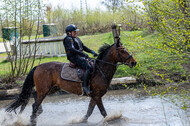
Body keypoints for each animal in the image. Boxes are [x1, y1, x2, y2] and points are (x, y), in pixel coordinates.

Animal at [5, 37, 137, 125]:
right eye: (122, 51)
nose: (134, 62)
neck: (100, 70)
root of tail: (38, 66)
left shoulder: (94, 96)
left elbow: (89, 112)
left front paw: (81, 120)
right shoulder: (97, 96)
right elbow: (103, 112)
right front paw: (113, 119)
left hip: (51, 89)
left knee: (34, 96)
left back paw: (37, 114)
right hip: (44, 89)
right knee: (35, 104)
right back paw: (33, 119)